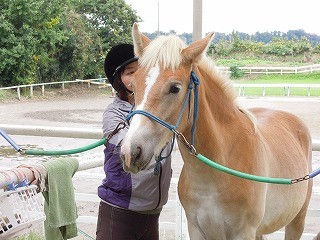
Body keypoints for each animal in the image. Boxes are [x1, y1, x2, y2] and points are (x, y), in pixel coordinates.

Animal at [120, 23, 312, 240]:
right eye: (133, 86)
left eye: (175, 88)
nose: (131, 152)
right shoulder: (196, 229)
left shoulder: (244, 232)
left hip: (297, 221)